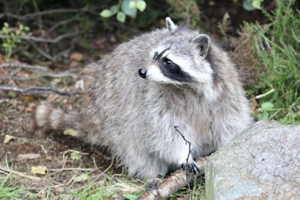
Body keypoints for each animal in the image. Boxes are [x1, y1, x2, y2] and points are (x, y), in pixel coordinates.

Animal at [32, 17, 253, 181]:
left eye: (168, 61)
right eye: (155, 55)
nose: (142, 72)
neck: (187, 86)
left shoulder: (225, 89)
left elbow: (230, 119)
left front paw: (233, 146)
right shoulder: (155, 99)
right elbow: (163, 130)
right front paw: (183, 155)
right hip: (111, 115)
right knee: (134, 146)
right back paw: (151, 174)